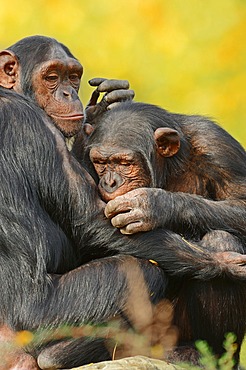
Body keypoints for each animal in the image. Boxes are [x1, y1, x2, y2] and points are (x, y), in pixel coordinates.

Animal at [85, 100, 246, 368]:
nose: (109, 182)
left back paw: (206, 355)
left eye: (125, 163)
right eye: (100, 163)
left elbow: (242, 203)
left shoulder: (218, 147)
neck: (171, 165)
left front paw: (154, 205)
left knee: (222, 239)